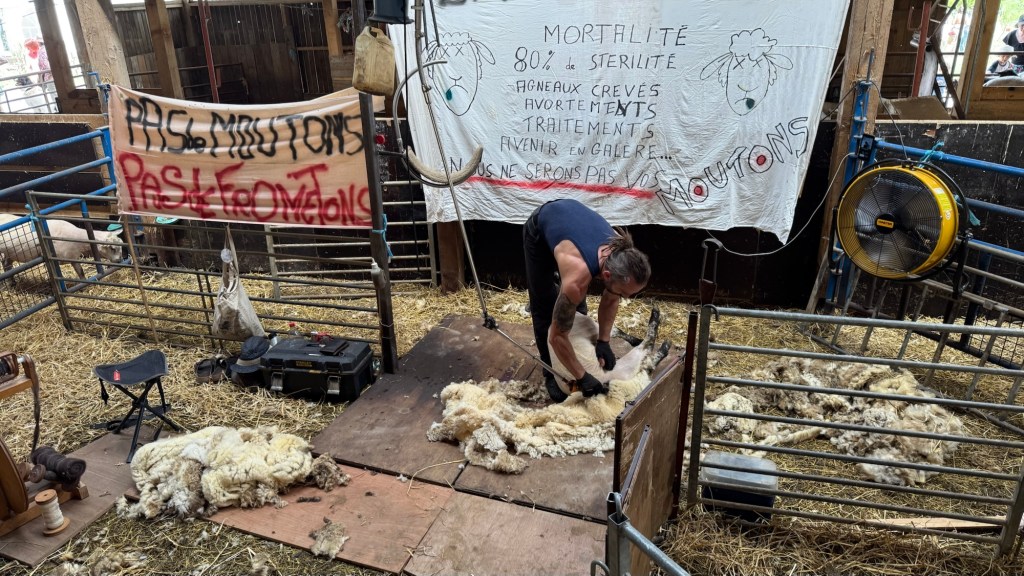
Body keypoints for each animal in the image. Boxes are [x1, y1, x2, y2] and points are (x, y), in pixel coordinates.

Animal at [428, 307, 672, 473]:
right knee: (646, 350)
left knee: (647, 357)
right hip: (626, 366)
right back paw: (658, 330)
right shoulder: (595, 328)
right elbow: (616, 331)